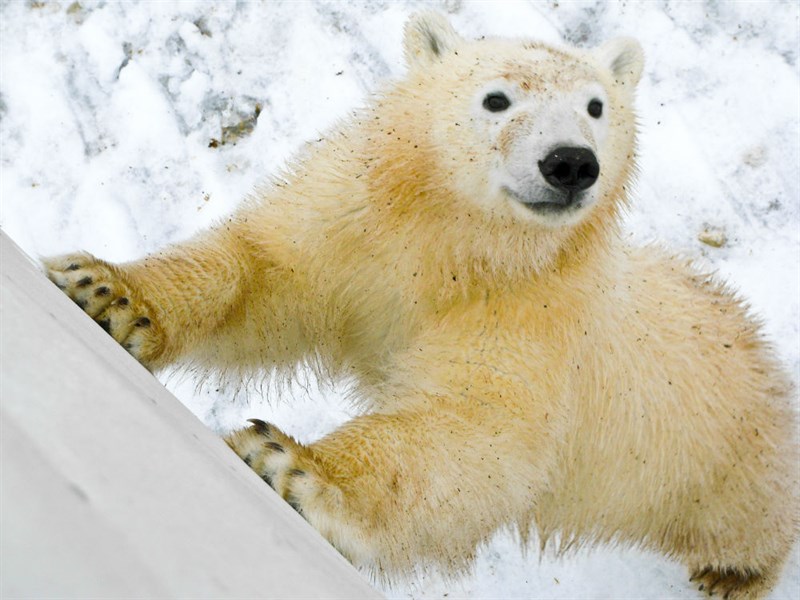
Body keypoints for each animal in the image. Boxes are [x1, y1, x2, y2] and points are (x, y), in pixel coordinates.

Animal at [47, 10, 796, 600]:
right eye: (496, 98)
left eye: (595, 106)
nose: (571, 163)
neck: (457, 249)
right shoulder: (356, 233)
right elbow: (265, 277)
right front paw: (107, 291)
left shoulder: (531, 314)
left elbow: (472, 433)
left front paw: (293, 466)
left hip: (721, 458)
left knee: (748, 519)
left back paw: (733, 576)